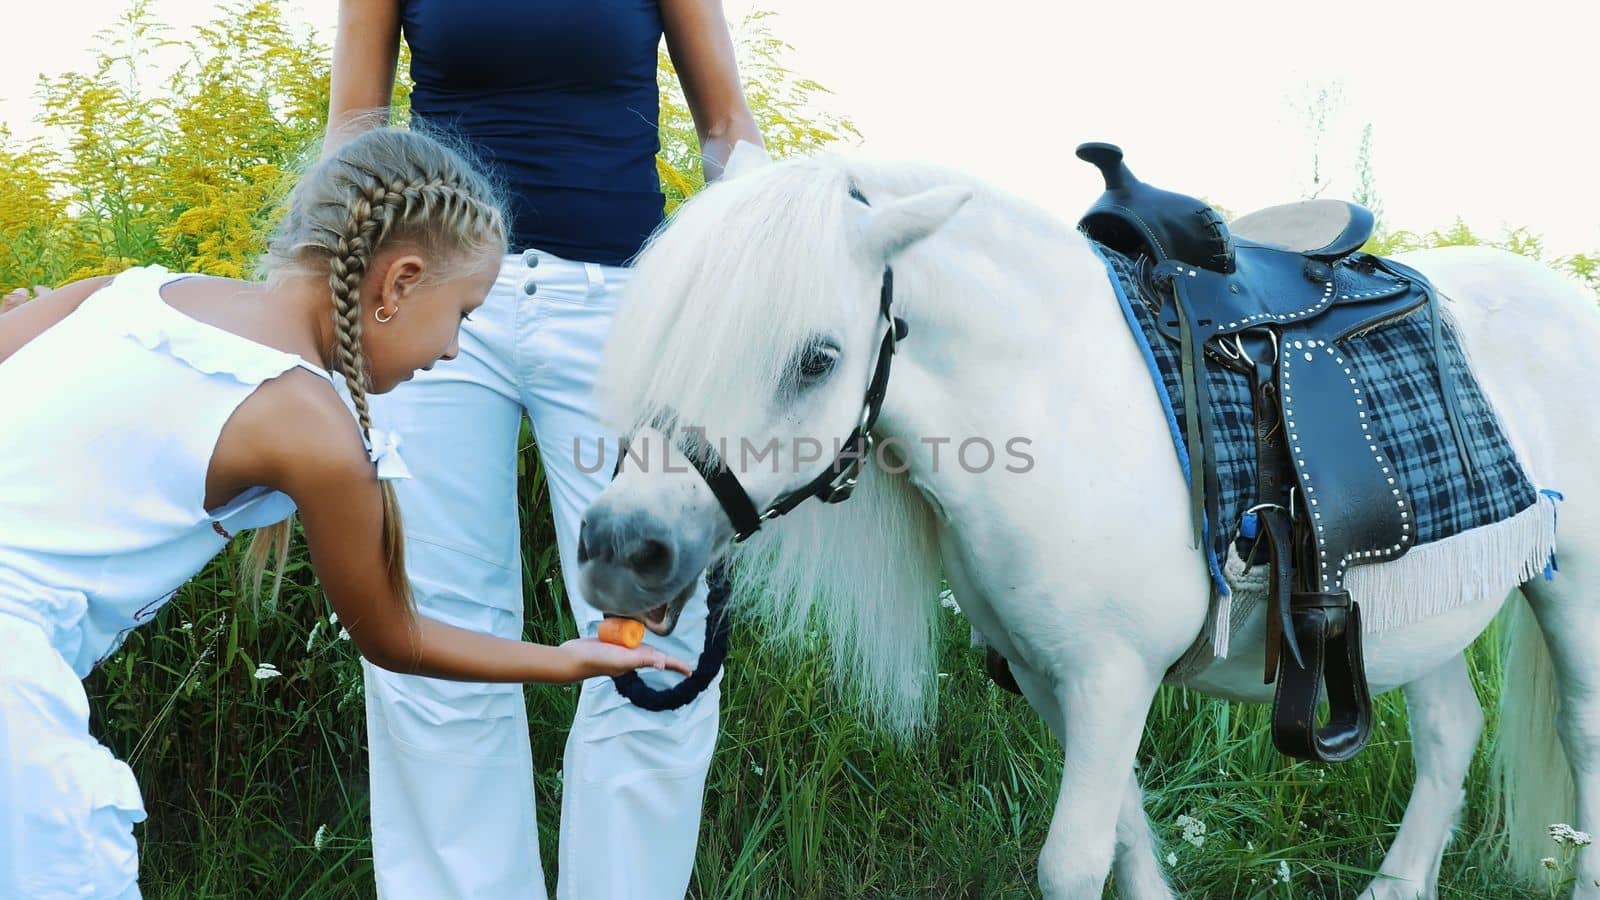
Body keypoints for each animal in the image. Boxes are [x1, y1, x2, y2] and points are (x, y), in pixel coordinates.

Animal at [576, 143, 1600, 890]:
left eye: (817, 360)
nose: (623, 549)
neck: (1053, 393)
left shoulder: (1112, 678)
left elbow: (1072, 863)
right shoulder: (1053, 678)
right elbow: (1125, 841)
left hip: (1574, 593)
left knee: (1582, 738)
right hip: (1414, 608)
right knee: (1451, 733)